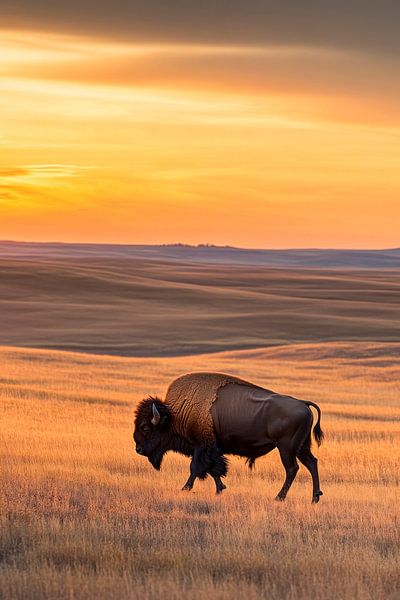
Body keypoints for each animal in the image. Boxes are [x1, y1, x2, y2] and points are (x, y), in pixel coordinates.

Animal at [133, 370, 324, 502]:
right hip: (301, 447)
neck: (175, 414)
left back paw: (279, 497)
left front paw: (185, 488)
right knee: (311, 463)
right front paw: (220, 489)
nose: (138, 449)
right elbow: (214, 469)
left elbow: (196, 467)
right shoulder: (212, 448)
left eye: (145, 427)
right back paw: (315, 497)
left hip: (286, 448)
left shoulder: (202, 446)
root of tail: (303, 403)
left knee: (292, 469)